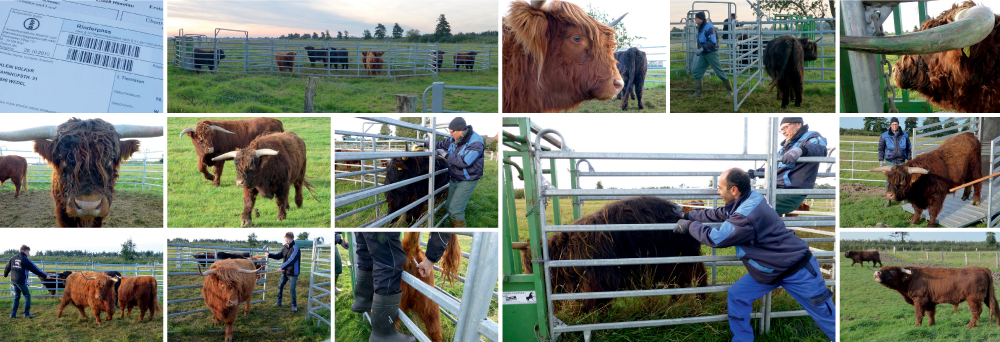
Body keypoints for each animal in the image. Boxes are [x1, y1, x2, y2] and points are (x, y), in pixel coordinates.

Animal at [520, 195, 708, 310]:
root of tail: (684, 212)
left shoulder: (599, 283)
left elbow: (593, 305)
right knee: (680, 283)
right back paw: (675, 303)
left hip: (684, 258)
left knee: (699, 277)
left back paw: (700, 300)